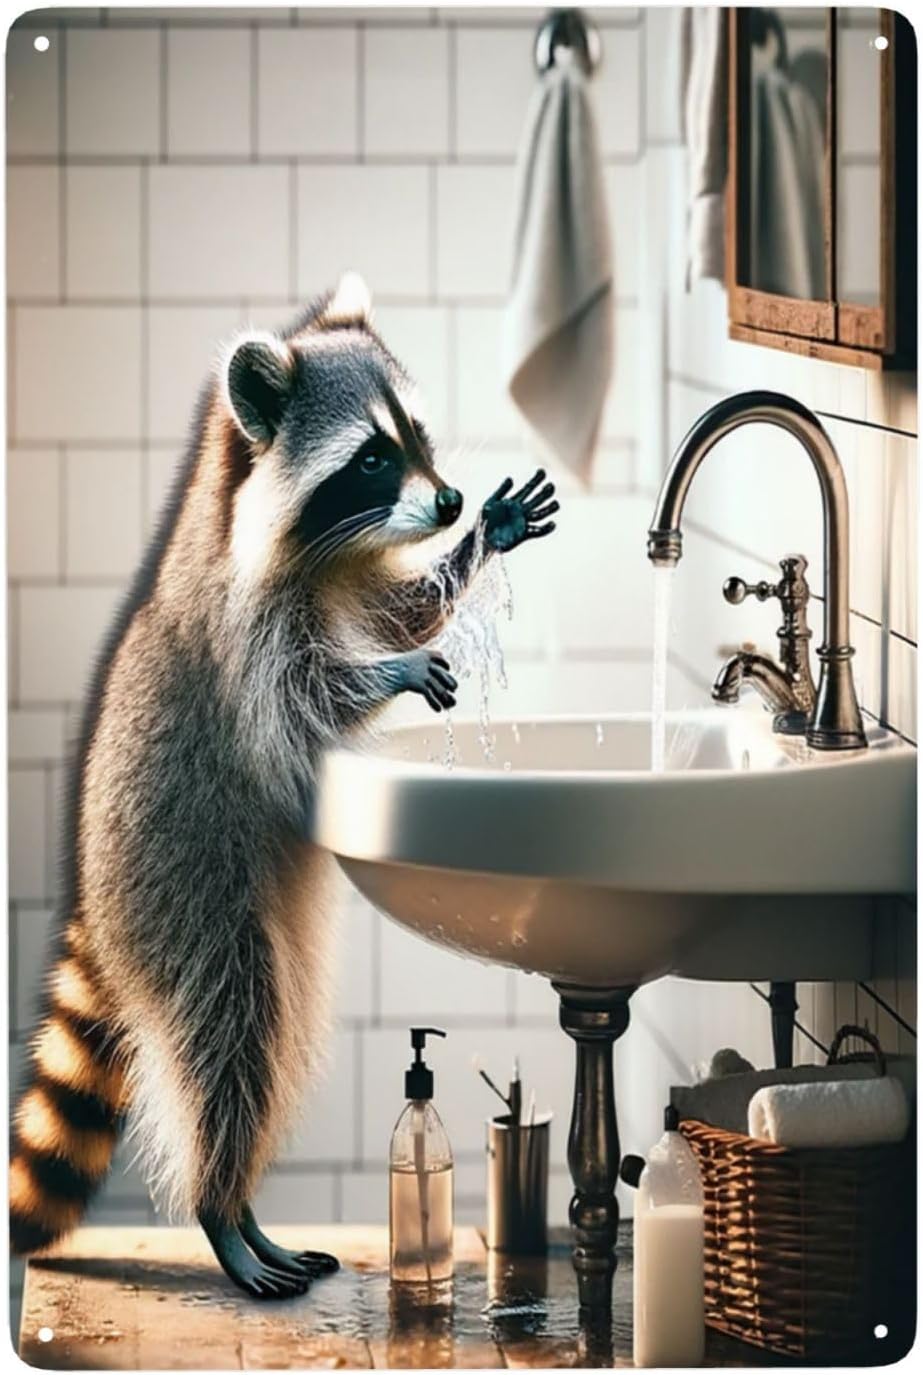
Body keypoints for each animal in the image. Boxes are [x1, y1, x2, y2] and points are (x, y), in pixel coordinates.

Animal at [9, 274, 558, 1298]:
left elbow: (405, 606)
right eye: (372, 457)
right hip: (178, 894)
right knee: (231, 1035)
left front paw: (476, 544)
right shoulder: (242, 625)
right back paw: (220, 1212)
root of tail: (92, 900)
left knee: (272, 1037)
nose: (450, 500)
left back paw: (248, 1214)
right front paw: (386, 672)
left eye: (416, 433)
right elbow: (301, 700)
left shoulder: (353, 569)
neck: (318, 543)